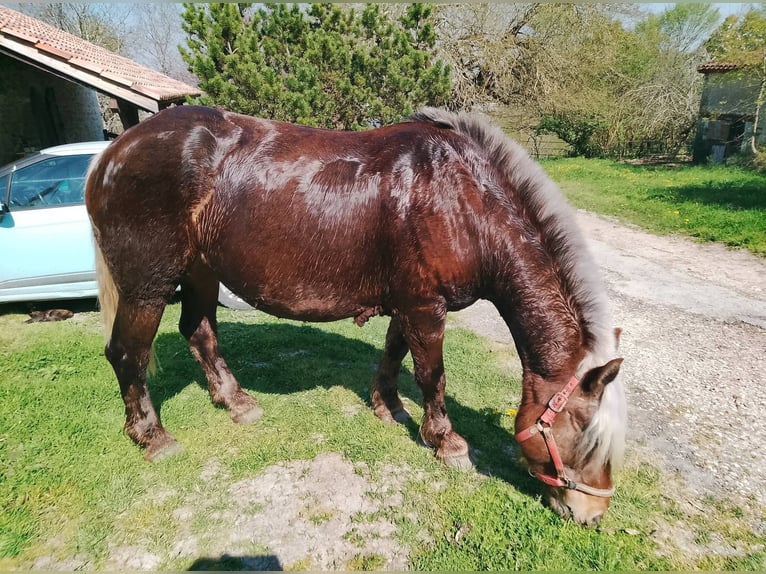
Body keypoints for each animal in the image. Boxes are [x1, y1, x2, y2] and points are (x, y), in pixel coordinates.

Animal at [85, 105, 626, 526]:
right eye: (585, 440)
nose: (593, 516)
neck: (463, 198)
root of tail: (111, 155)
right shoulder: (426, 307)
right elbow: (432, 375)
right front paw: (446, 441)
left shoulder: (408, 303)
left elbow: (394, 353)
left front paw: (388, 406)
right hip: (148, 285)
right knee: (128, 353)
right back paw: (153, 436)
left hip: (201, 272)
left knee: (198, 333)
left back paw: (235, 402)